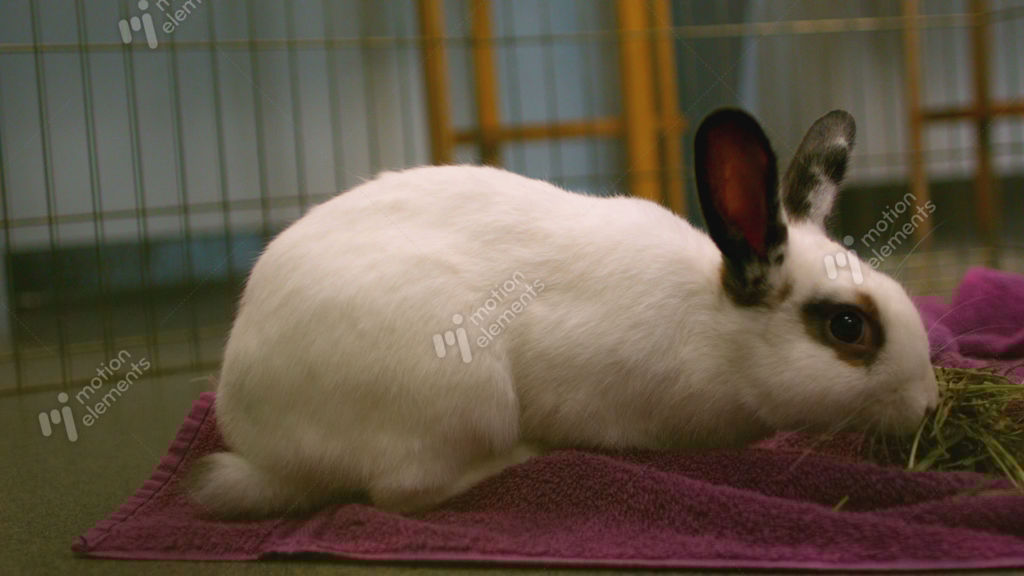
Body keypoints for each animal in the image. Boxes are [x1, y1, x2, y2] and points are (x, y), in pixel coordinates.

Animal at [189, 108, 938, 517]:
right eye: (848, 326)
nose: (930, 404)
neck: (715, 326)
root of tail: (258, 438)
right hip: (462, 398)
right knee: (403, 493)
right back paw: (522, 457)